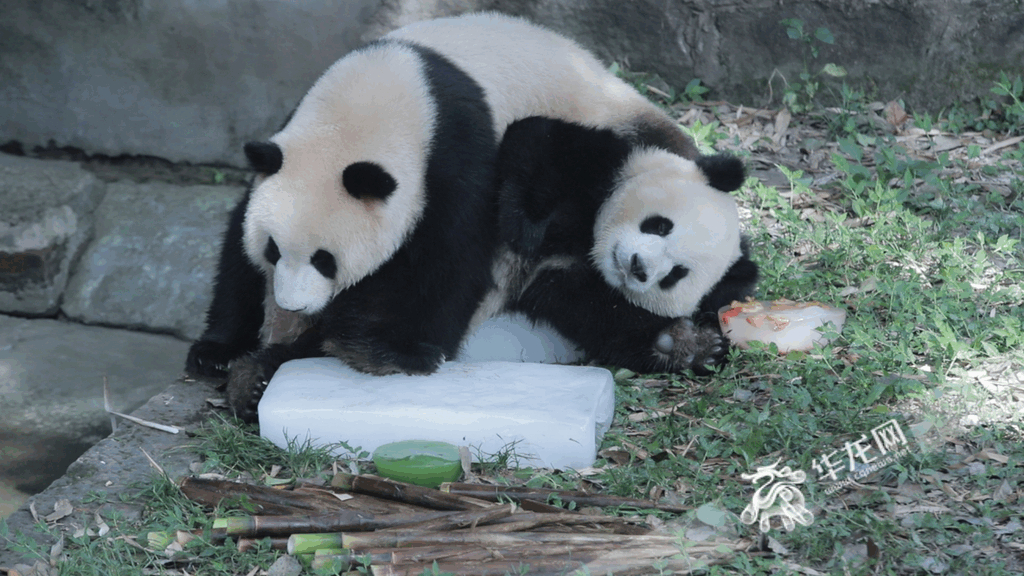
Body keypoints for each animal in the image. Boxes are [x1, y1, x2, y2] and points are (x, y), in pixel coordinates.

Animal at [487, 116, 761, 373]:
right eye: (661, 226)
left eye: (676, 274)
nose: (637, 266)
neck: (587, 243)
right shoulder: (609, 161)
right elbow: (539, 141)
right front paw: (527, 223)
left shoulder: (563, 279)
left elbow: (600, 318)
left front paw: (690, 346)